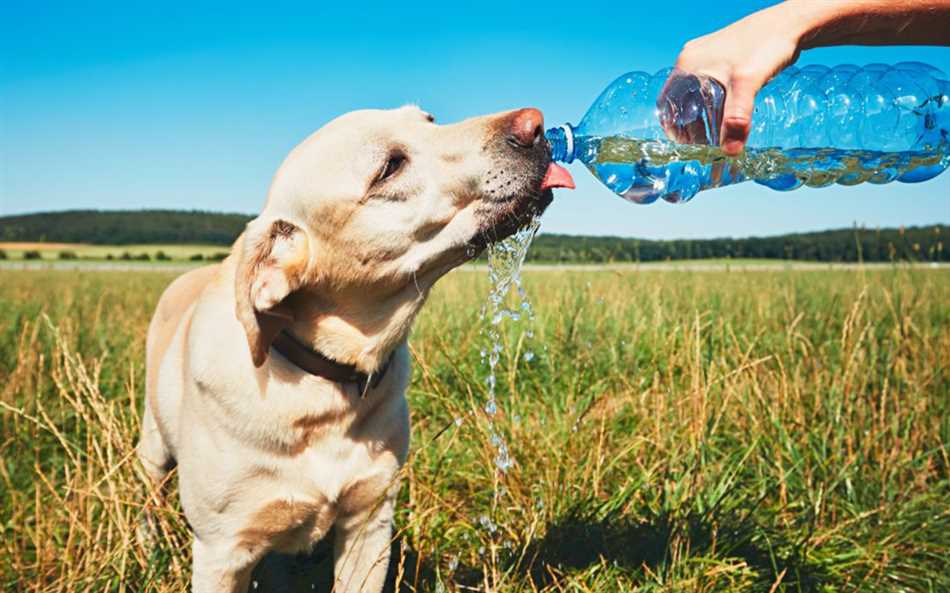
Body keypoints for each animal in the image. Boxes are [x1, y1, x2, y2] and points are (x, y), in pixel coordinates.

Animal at [138, 106, 576, 592]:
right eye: (389, 167)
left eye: (429, 119)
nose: (535, 124)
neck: (323, 384)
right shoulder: (222, 552)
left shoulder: (370, 523)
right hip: (152, 447)